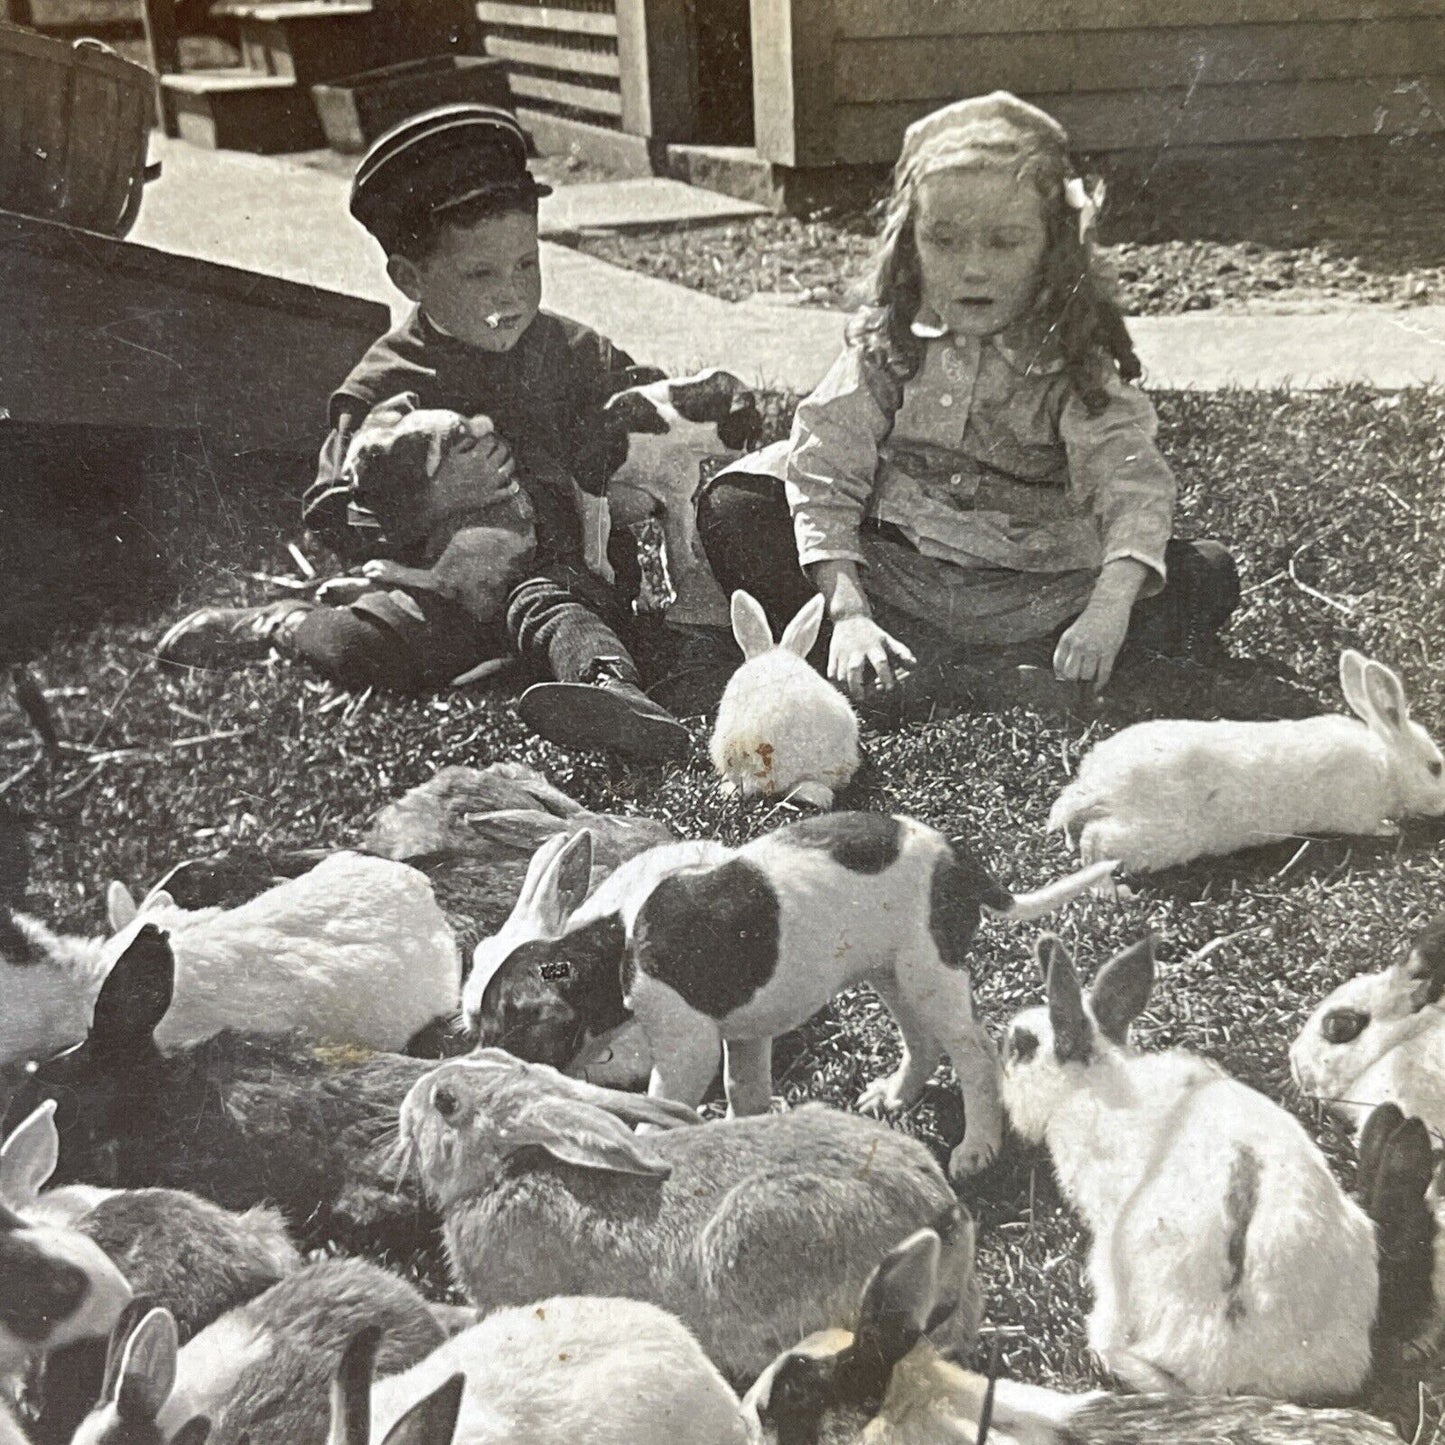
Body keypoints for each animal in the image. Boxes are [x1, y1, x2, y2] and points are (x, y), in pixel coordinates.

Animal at [1051, 653, 1445, 867]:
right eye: (1436, 767)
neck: (1388, 763)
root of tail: (1102, 784)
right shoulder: (1356, 814)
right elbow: (1371, 827)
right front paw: (1392, 829)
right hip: (1156, 835)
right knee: (1097, 842)